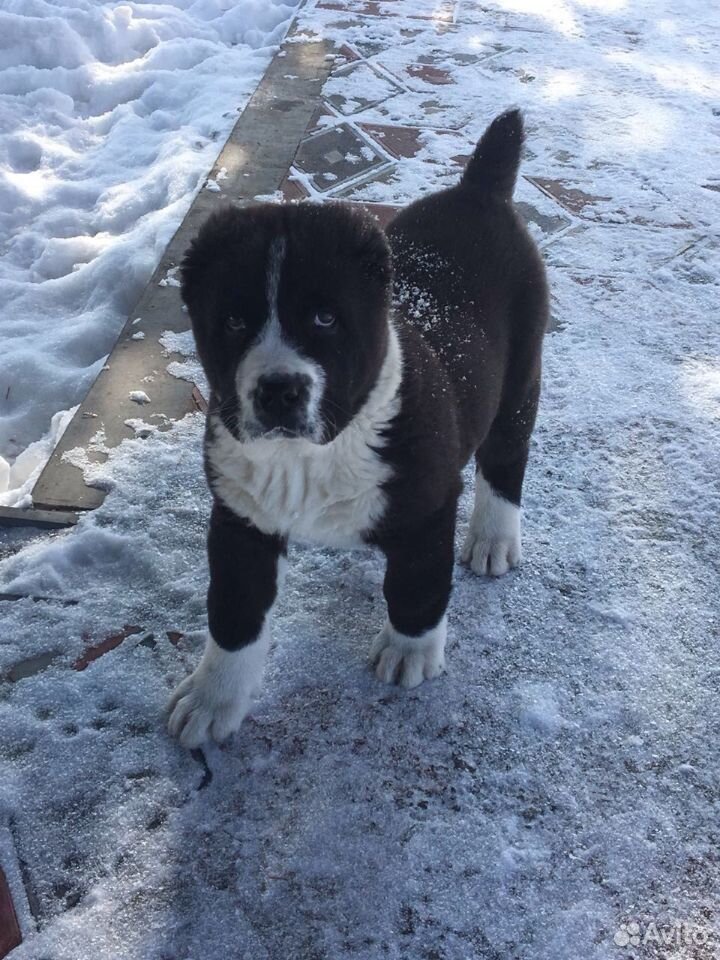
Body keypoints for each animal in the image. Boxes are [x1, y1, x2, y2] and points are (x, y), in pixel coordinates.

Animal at [167, 109, 544, 748]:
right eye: (234, 322)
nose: (279, 390)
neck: (308, 457)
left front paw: (409, 652)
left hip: (521, 375)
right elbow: (234, 612)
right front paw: (213, 698)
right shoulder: (241, 517)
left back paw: (494, 538)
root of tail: (478, 191)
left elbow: (417, 586)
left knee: (505, 459)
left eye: (325, 318)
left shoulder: (427, 505)